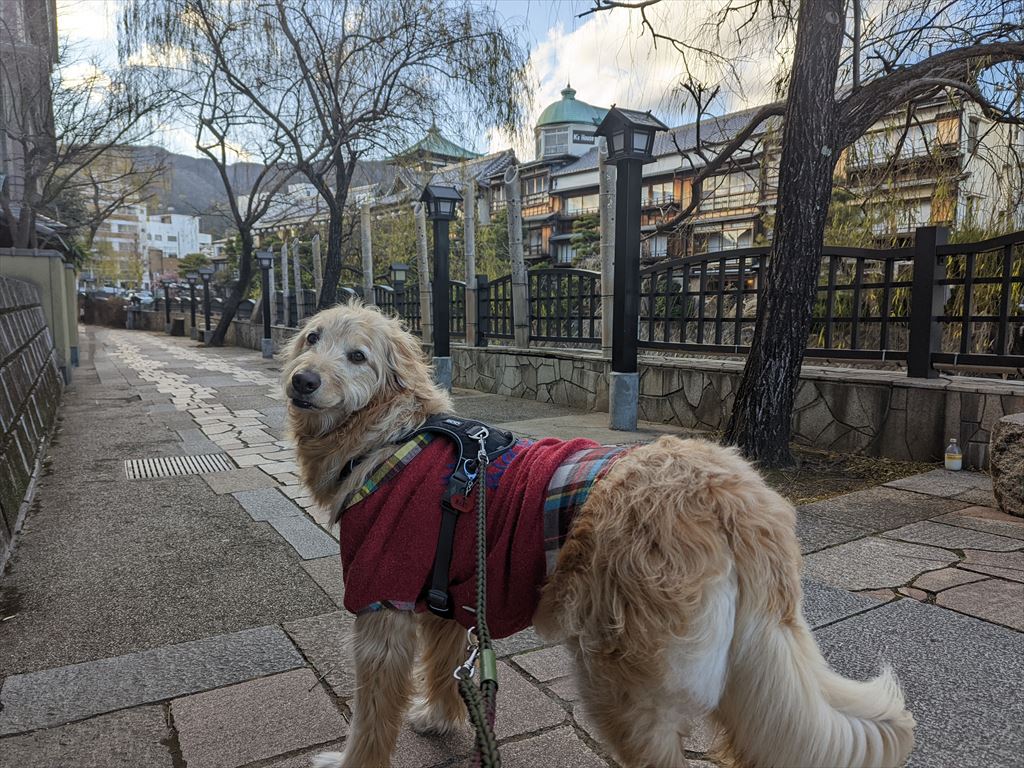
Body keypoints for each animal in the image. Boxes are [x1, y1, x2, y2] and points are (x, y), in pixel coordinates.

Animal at [284, 303, 917, 768]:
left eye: (358, 355)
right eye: (311, 337)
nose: (301, 380)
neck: (390, 438)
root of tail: (732, 496)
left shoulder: (379, 603)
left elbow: (370, 717)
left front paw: (351, 762)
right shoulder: (447, 597)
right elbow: (443, 668)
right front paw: (440, 719)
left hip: (617, 681)